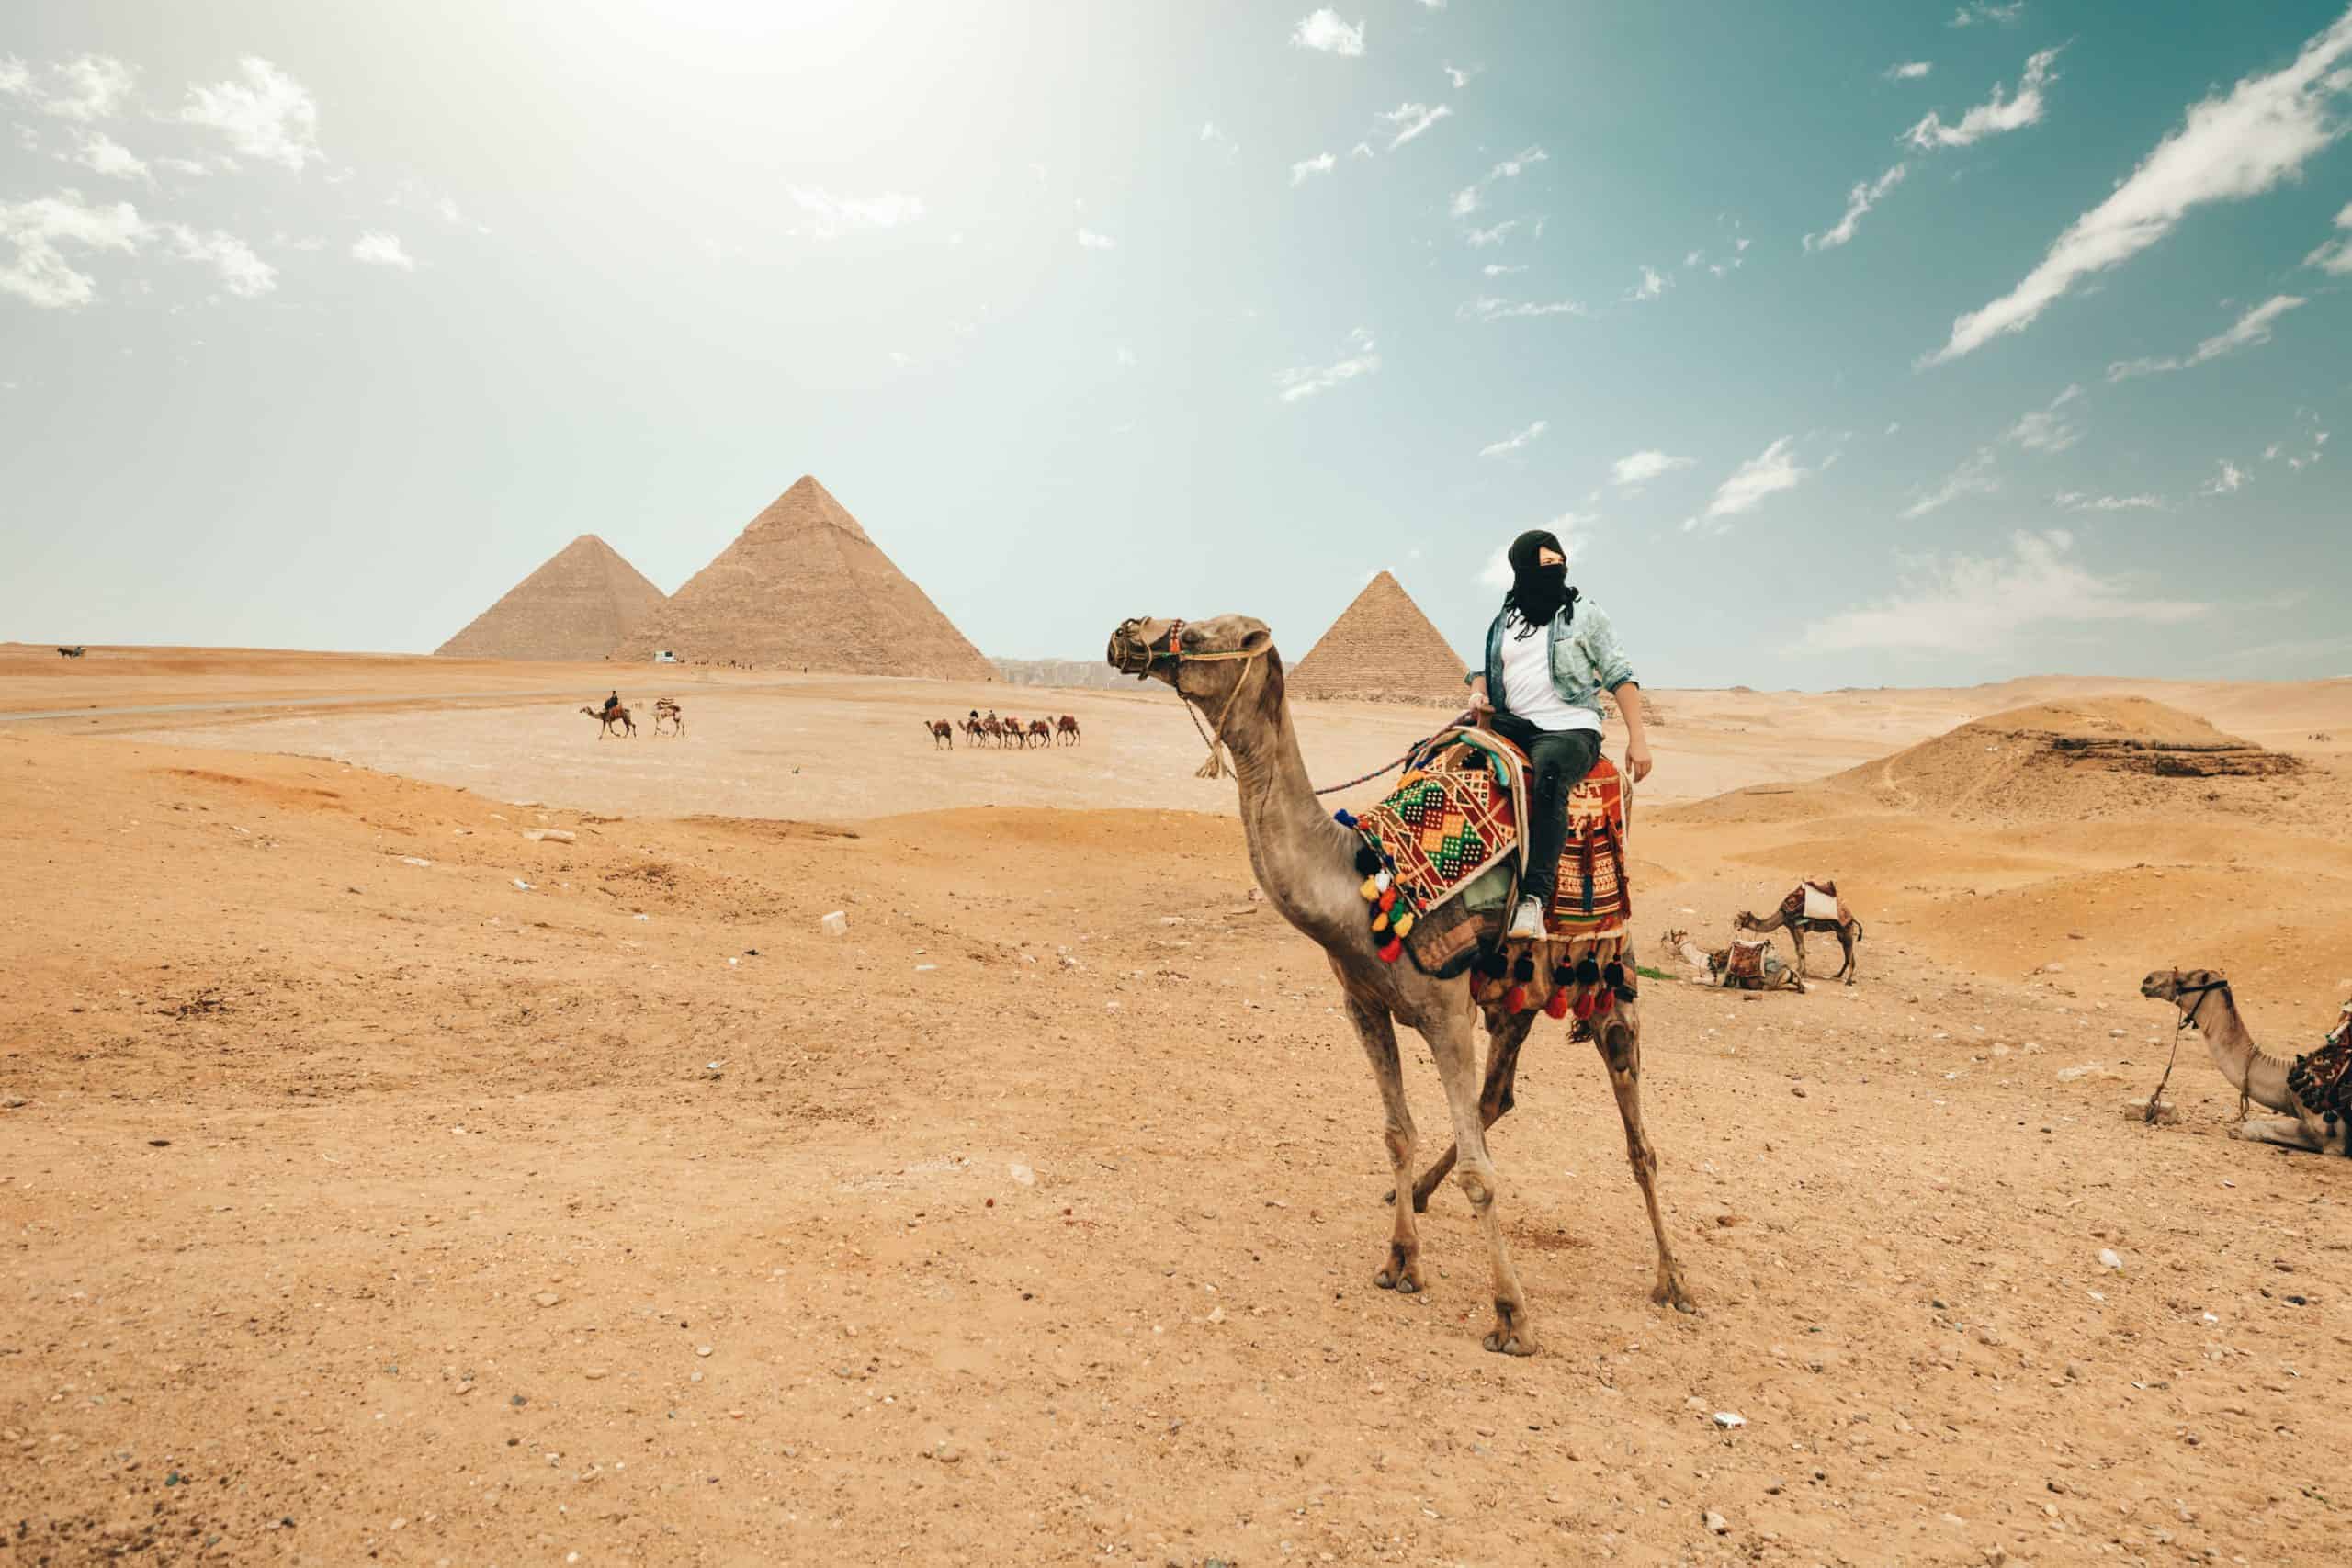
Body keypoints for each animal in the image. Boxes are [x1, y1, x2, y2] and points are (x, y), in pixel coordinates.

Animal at [1105, 611, 1693, 1363]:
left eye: (1216, 631)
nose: (1130, 633)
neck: (1360, 881)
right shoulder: (1365, 1004)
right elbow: (1397, 1133)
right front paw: (1402, 1260)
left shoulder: (1444, 1013)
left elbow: (1480, 1174)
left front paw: (1512, 1317)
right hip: (1514, 995)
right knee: (1499, 1095)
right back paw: (1416, 1192)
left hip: (1611, 981)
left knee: (1638, 1142)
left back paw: (1674, 1279)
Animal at [1731, 884, 1853, 982]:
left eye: (1740, 918)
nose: (1734, 924)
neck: (1783, 915)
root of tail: (1850, 915)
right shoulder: (1791, 928)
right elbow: (1797, 950)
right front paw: (1798, 970)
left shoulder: (1798, 927)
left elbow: (1802, 951)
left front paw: (1803, 973)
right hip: (1841, 933)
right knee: (1848, 953)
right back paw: (1838, 975)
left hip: (1845, 930)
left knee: (1850, 953)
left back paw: (1848, 980)